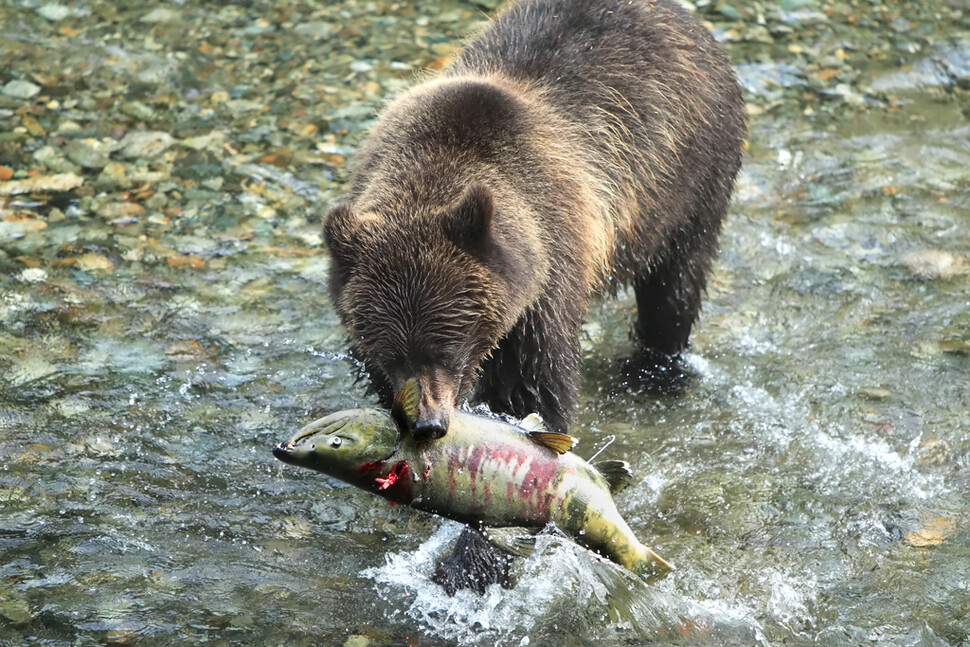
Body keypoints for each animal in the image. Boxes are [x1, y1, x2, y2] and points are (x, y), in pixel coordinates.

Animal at [324, 0, 740, 446]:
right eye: (392, 352)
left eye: (446, 347)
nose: (427, 423)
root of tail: (684, 17)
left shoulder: (548, 271)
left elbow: (533, 383)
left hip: (690, 178)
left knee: (674, 287)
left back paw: (656, 372)